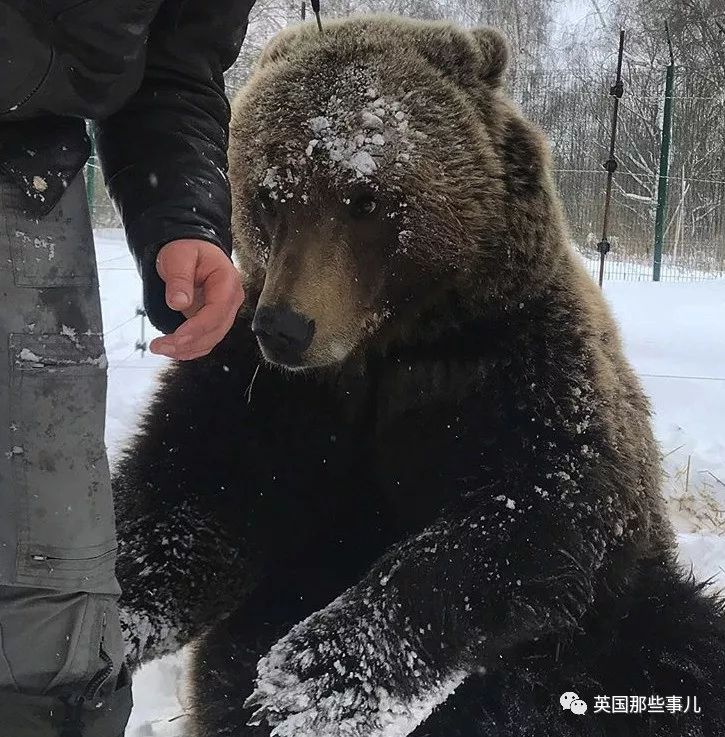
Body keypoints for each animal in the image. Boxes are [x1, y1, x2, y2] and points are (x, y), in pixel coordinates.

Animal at [113, 12, 724, 736]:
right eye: (267, 193)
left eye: (364, 196)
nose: (286, 329)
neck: (385, 344)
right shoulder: (271, 394)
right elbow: (193, 489)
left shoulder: (514, 363)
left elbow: (534, 509)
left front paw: (311, 678)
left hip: (617, 626)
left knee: (674, 646)